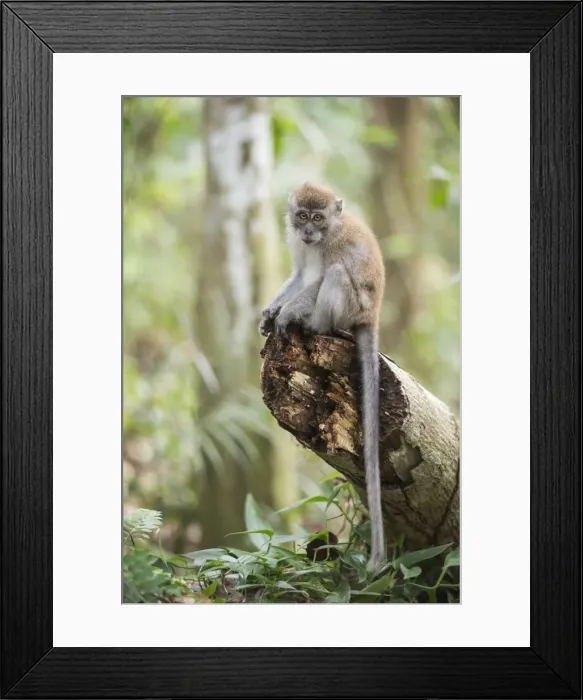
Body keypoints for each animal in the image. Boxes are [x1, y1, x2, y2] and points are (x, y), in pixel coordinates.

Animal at [260, 182, 386, 572]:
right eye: (302, 216)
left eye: (318, 218)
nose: (308, 231)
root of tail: (372, 317)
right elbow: (300, 275)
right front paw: (272, 310)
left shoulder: (331, 246)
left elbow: (315, 281)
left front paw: (286, 314)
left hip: (351, 308)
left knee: (335, 276)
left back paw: (314, 325)